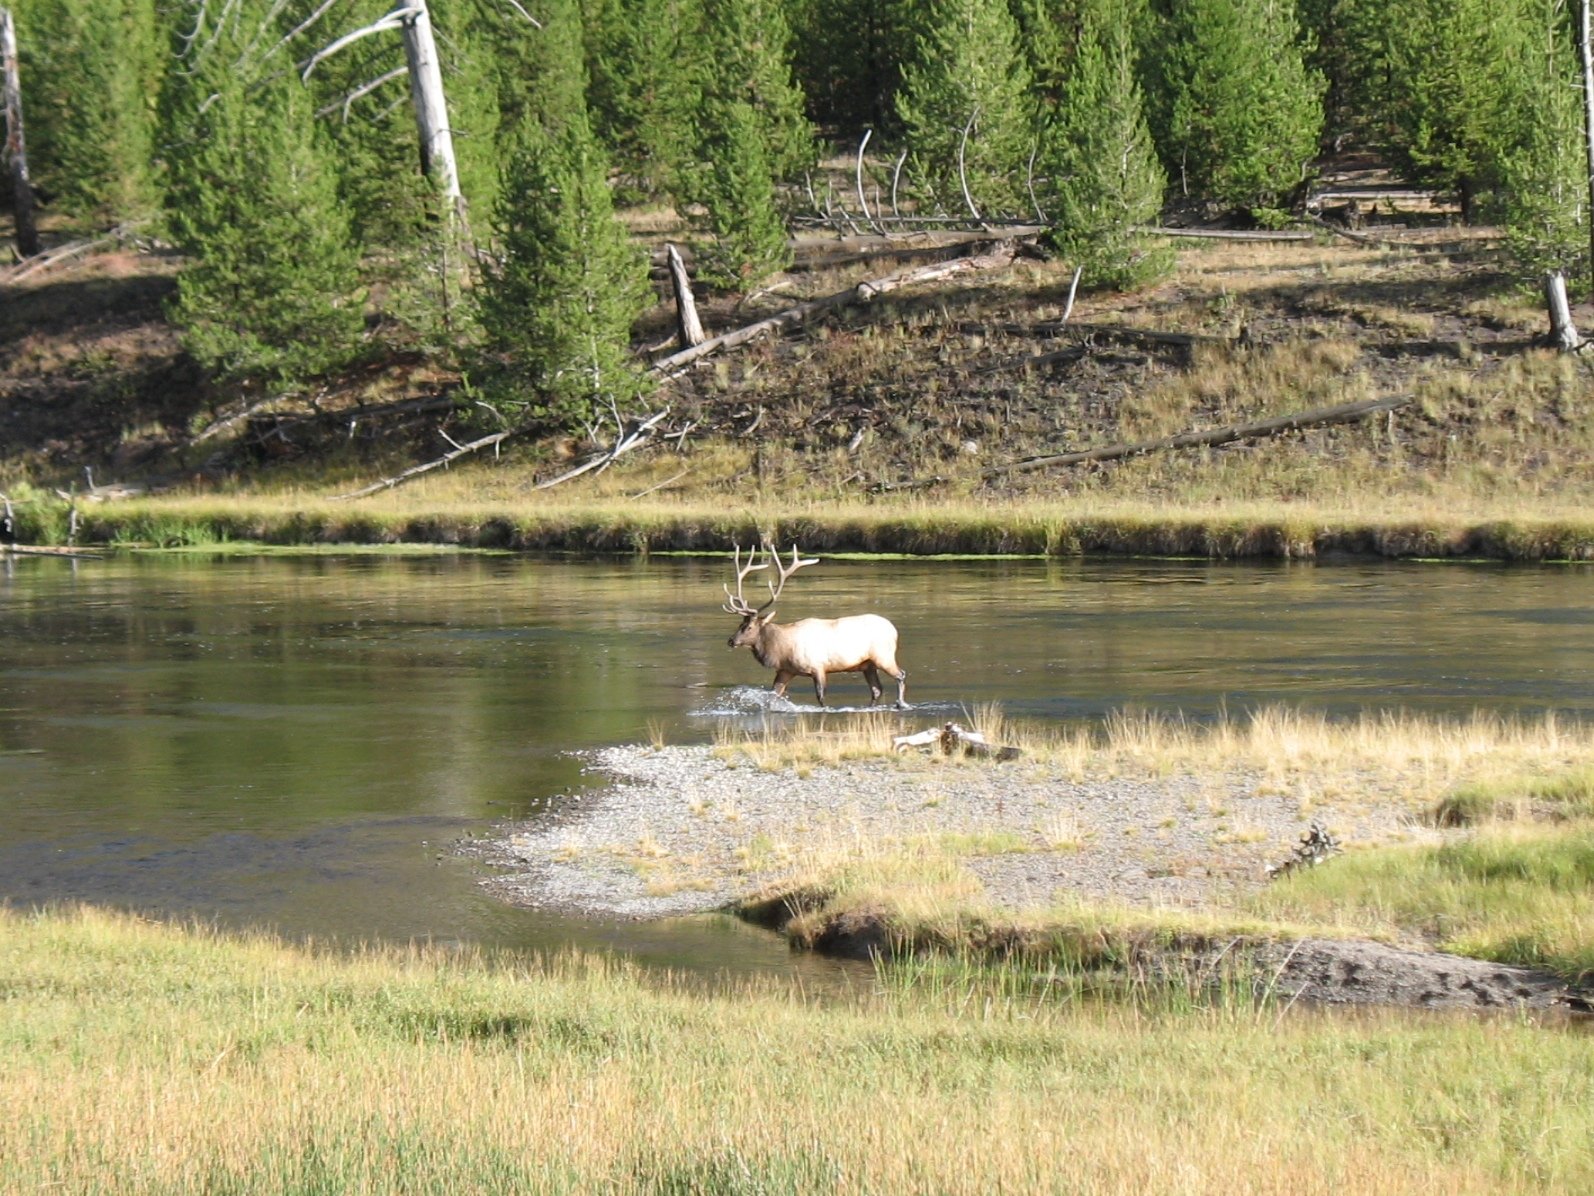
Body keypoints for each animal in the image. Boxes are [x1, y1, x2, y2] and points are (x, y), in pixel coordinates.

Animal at [726, 545, 911, 711]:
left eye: (749, 627)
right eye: (740, 624)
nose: (731, 641)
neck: (782, 650)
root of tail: (894, 630)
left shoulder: (818, 667)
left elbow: (821, 696)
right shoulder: (786, 670)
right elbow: (773, 695)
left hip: (883, 656)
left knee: (901, 675)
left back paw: (901, 703)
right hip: (868, 664)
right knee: (876, 689)